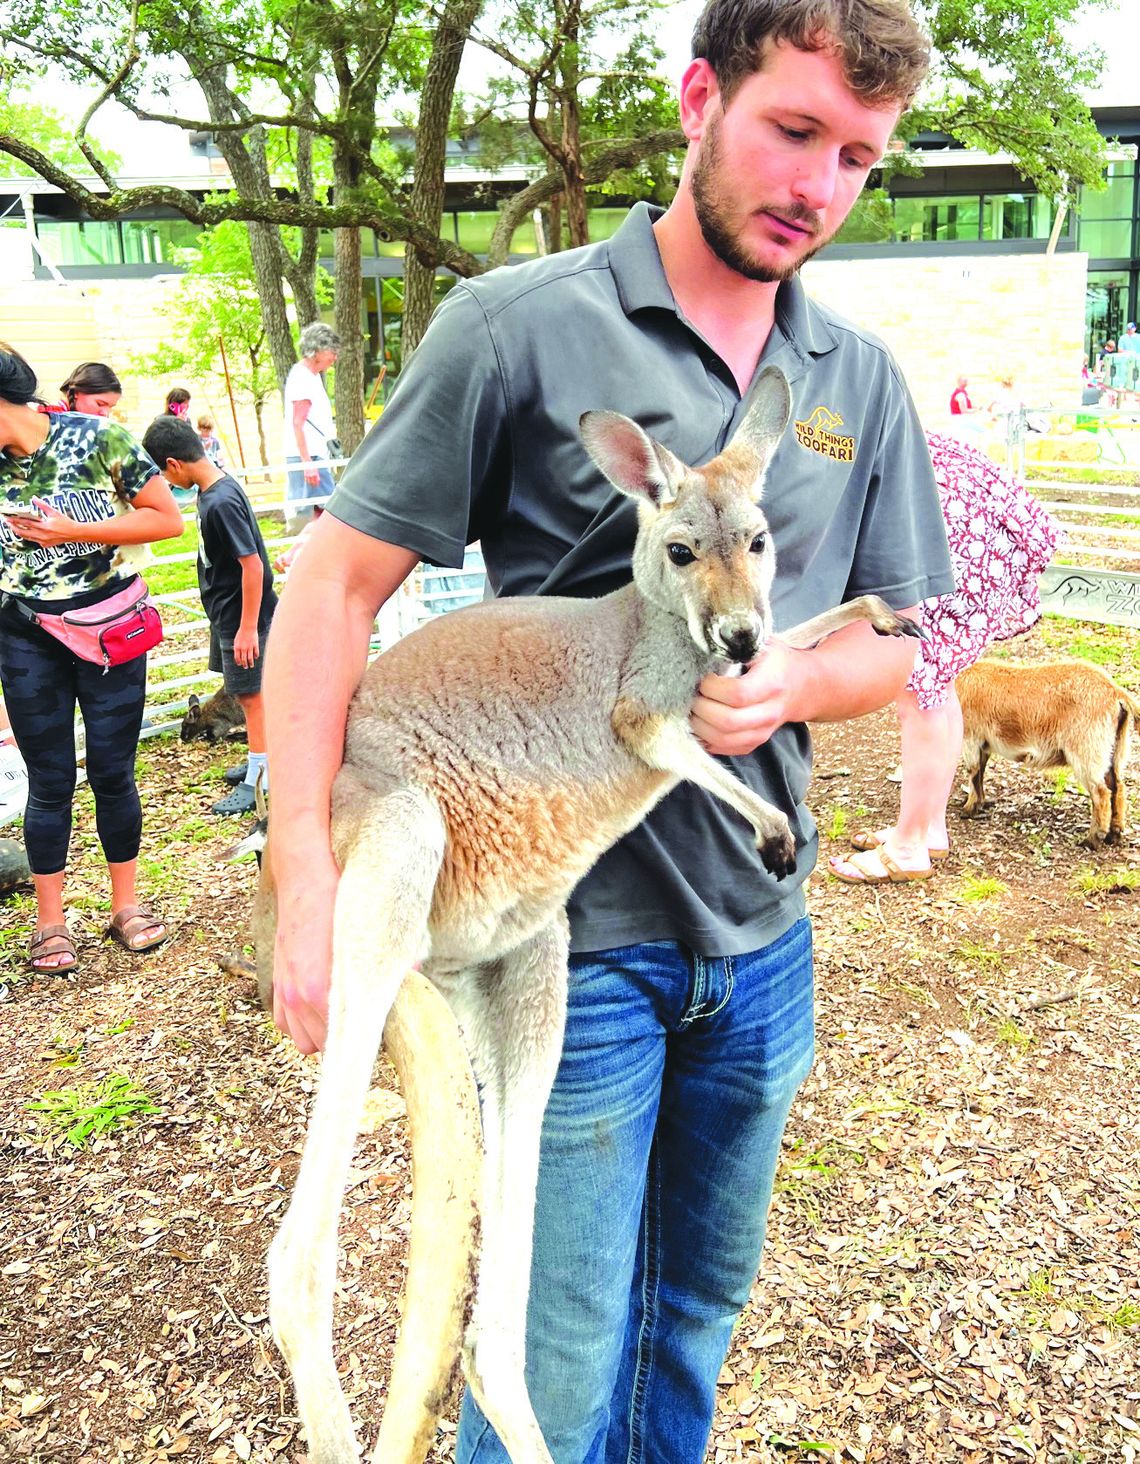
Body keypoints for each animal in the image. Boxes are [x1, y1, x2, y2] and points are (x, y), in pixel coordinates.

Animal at [954, 661, 1140, 854]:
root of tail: (1116, 693)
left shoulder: (971, 737)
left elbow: (973, 772)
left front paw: (968, 810)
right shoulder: (983, 745)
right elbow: (980, 771)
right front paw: (979, 803)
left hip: (1087, 749)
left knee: (1101, 792)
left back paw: (1092, 840)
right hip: (1114, 749)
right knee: (1117, 786)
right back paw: (1114, 834)